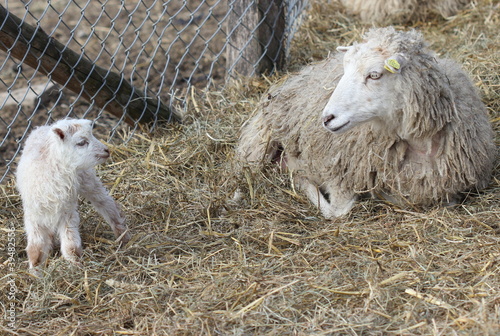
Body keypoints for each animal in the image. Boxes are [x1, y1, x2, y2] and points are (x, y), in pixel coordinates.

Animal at [17, 118, 131, 270]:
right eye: (81, 142)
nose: (107, 150)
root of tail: (46, 126)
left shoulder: (67, 211)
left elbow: (71, 245)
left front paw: (75, 265)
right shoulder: (34, 215)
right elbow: (36, 250)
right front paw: (35, 270)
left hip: (86, 178)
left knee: (106, 203)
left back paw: (123, 235)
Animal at [237, 27, 496, 219]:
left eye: (374, 75)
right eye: (345, 69)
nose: (326, 118)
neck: (421, 143)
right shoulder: (339, 172)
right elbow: (337, 211)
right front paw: (302, 178)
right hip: (258, 145)